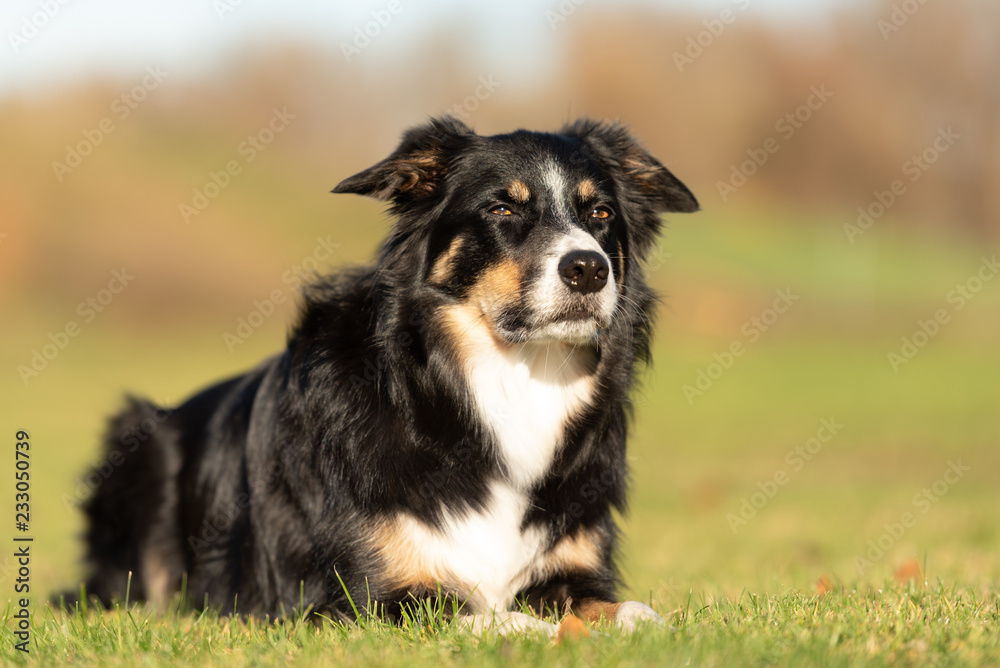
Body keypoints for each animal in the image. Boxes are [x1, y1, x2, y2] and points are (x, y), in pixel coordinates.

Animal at [72, 117, 696, 636]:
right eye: (502, 210)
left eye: (601, 214)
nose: (588, 268)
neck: (504, 381)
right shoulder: (359, 597)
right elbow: (473, 614)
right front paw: (527, 630)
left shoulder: (572, 569)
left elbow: (626, 609)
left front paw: (647, 625)